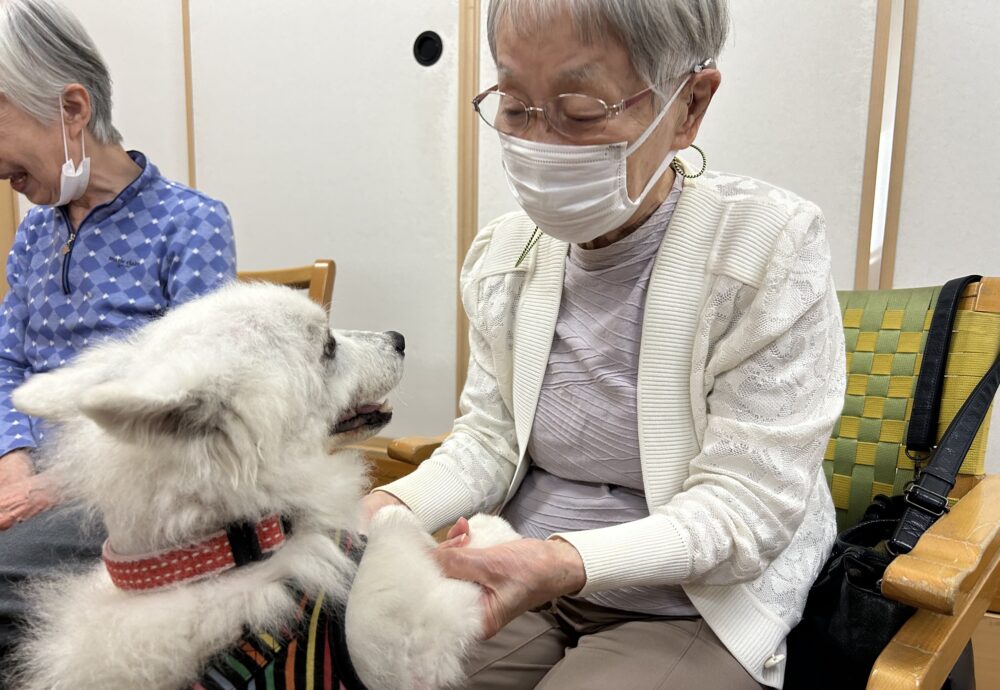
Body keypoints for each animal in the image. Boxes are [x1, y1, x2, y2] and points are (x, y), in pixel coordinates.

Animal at [9, 282, 516, 684]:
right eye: (327, 347)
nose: (399, 338)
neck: (230, 549)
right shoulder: (411, 641)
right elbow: (399, 528)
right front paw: (486, 532)